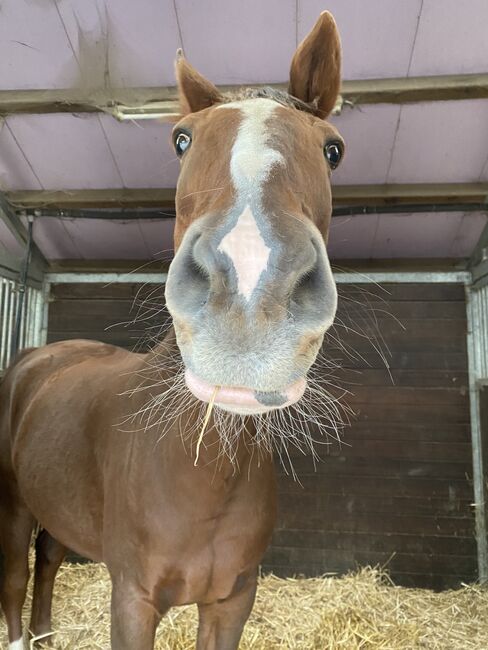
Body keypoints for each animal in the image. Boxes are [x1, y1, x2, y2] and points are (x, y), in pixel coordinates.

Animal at [0, 11, 344, 648]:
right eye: (180, 140)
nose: (248, 293)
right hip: (12, 505)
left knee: (50, 559)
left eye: (333, 150)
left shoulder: (232, 602)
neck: (200, 471)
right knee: (15, 575)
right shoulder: (132, 600)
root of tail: (37, 357)